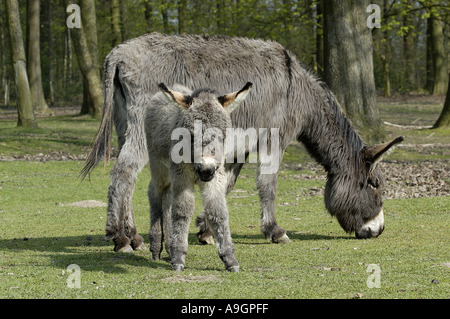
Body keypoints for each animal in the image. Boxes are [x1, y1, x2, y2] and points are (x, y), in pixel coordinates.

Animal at [144, 82, 251, 272]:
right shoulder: (182, 175)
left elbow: (217, 211)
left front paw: (229, 259)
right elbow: (183, 210)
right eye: (191, 135)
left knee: (168, 199)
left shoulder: (216, 177)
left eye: (223, 136)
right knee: (155, 192)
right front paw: (179, 257)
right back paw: (156, 247)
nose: (206, 170)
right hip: (159, 167)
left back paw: (169, 246)